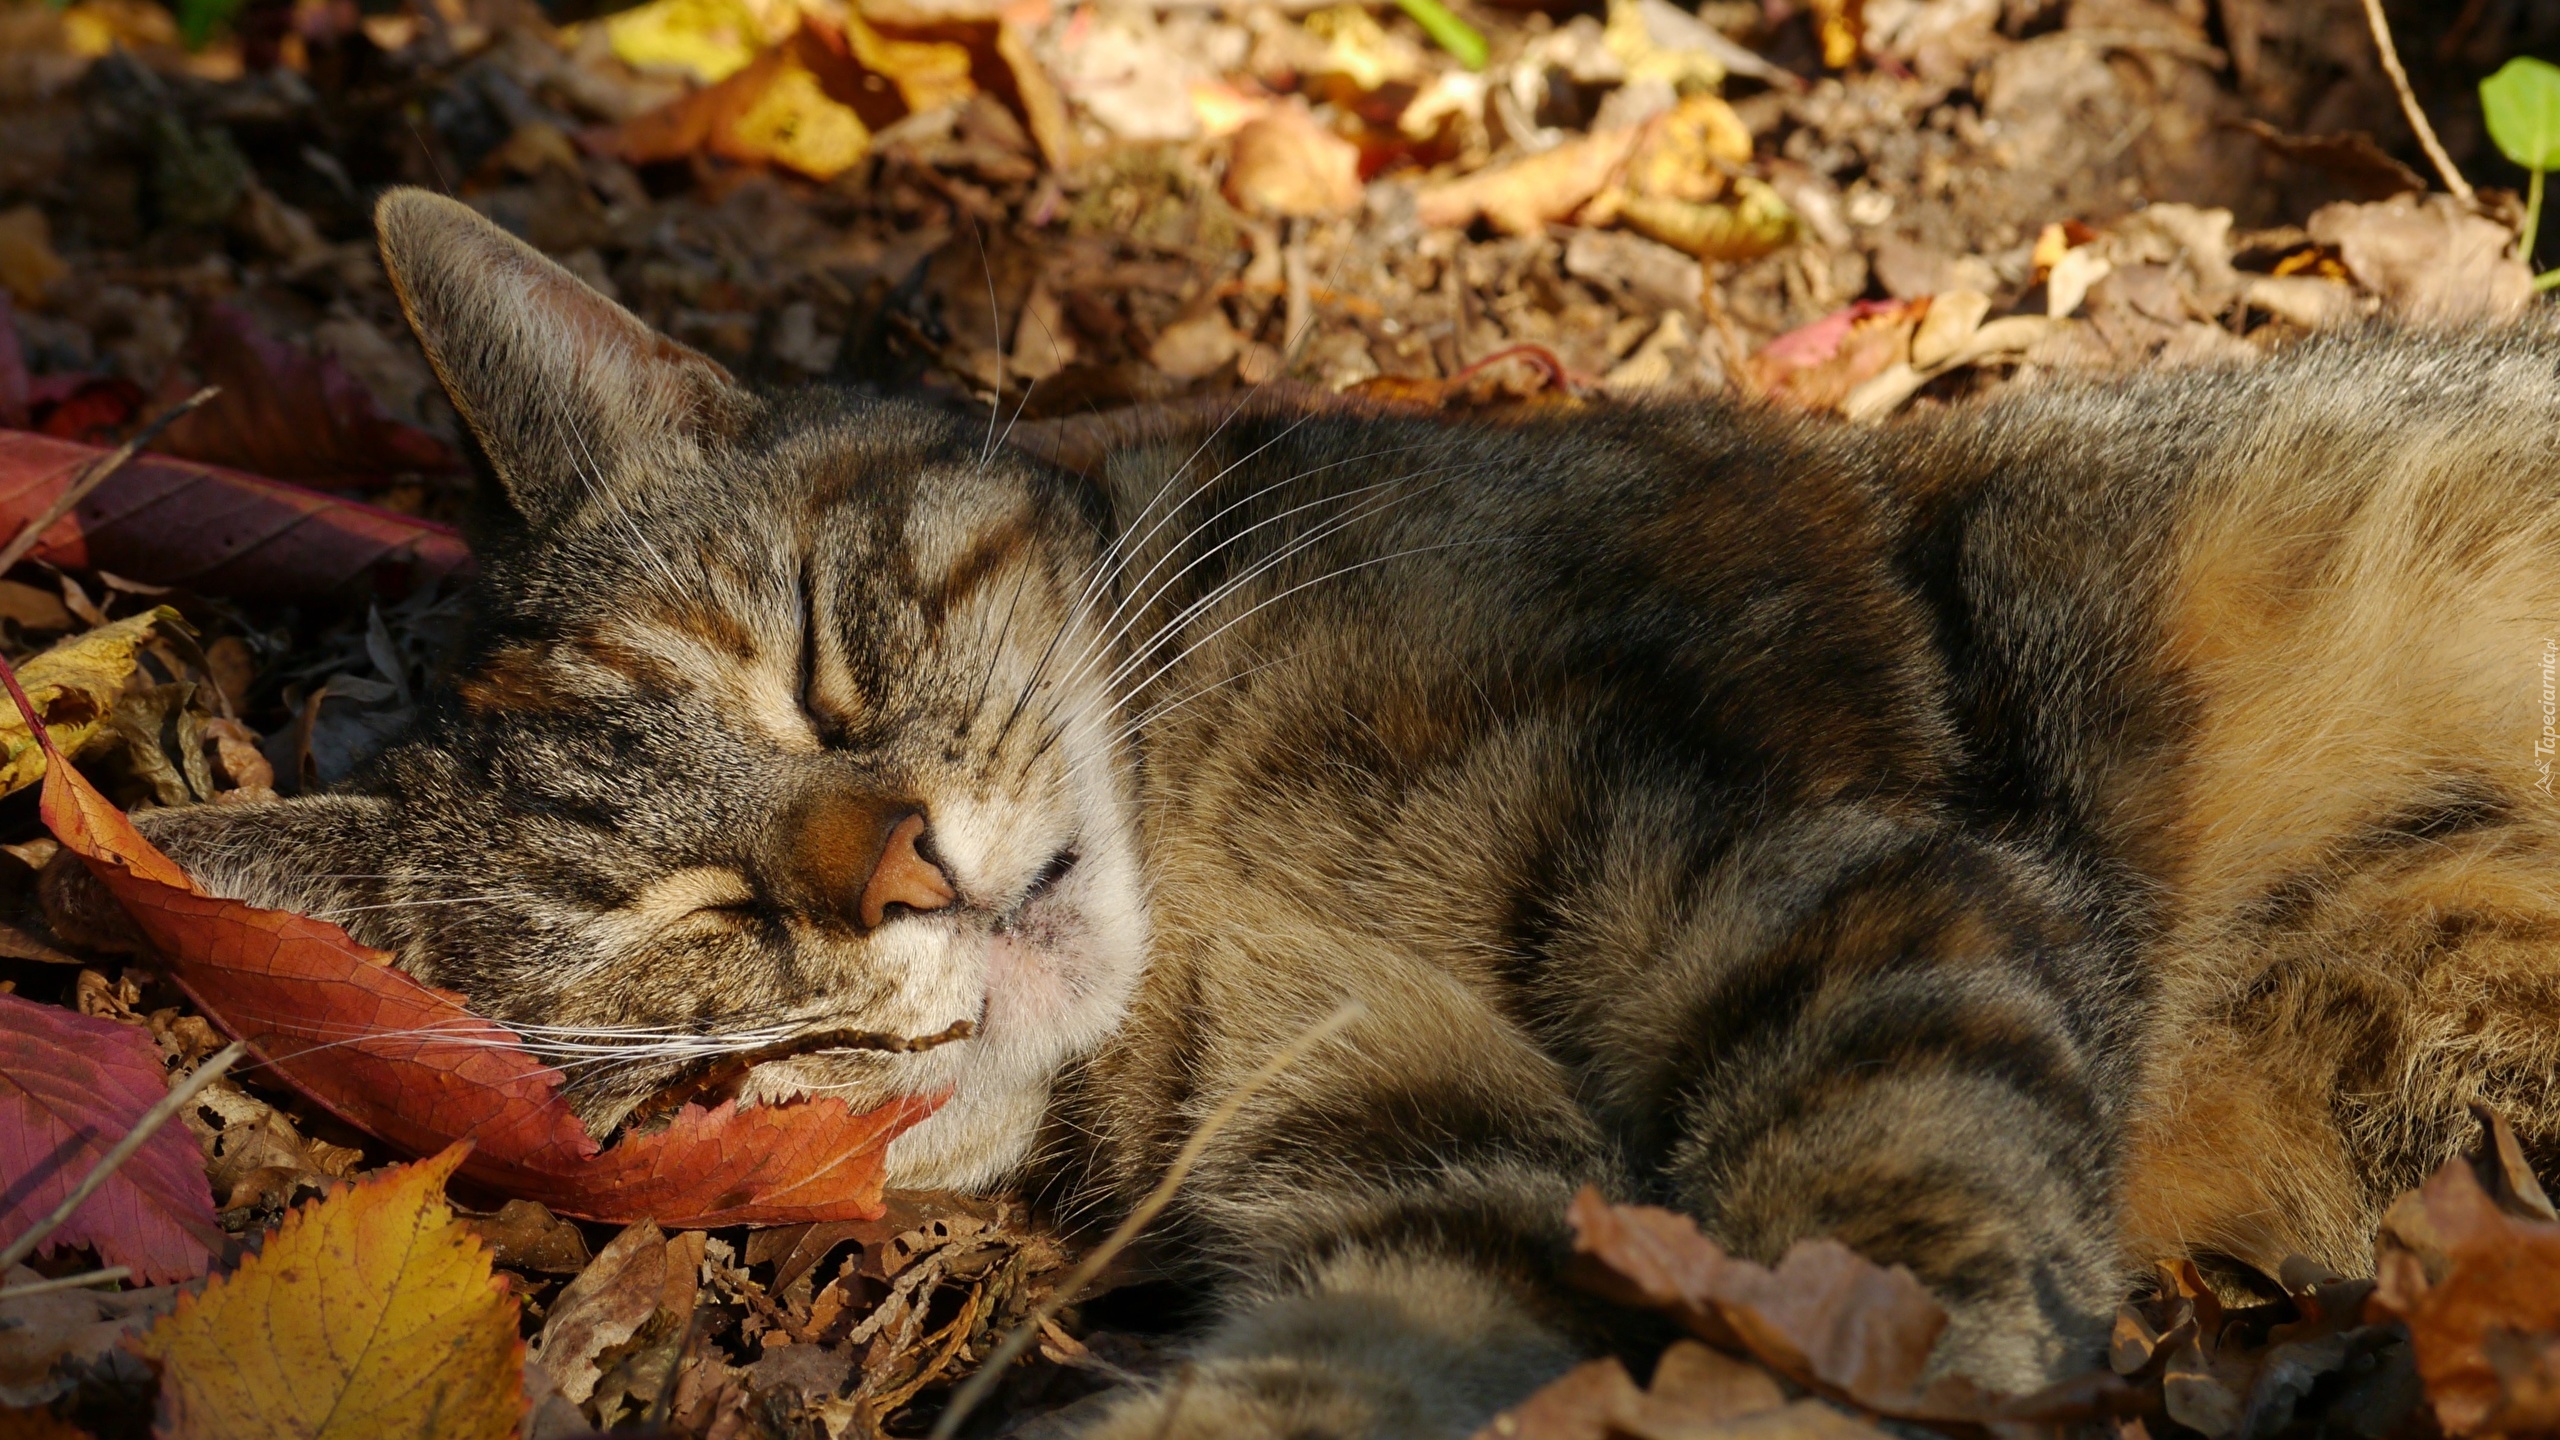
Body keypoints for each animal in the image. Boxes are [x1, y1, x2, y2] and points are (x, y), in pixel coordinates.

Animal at [70, 188, 2560, 1424]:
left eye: (808, 665)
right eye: (690, 930)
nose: (898, 867)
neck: (1208, 869)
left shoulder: (1796, 862)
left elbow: (1889, 1216)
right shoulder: (1443, 1185)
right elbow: (1335, 1374)